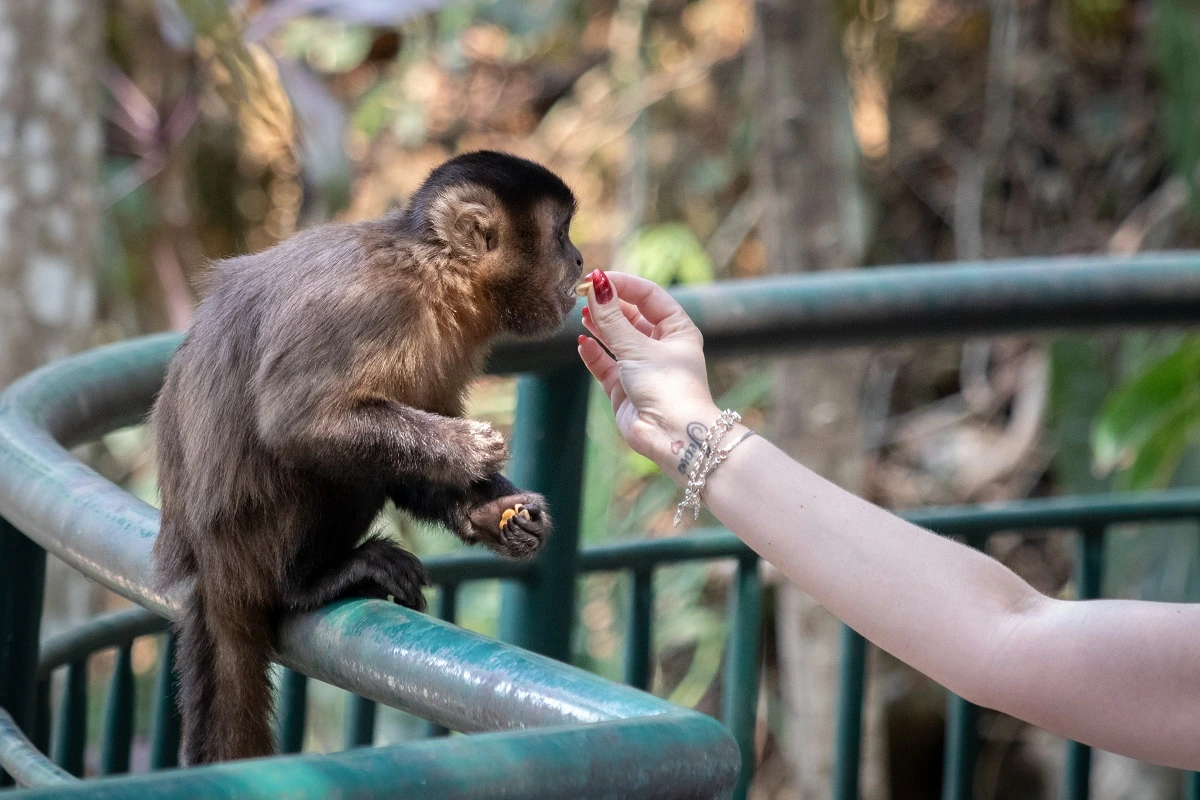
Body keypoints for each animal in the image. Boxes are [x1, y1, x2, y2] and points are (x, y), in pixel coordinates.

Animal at [152, 151, 583, 767]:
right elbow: (294, 422)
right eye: (562, 234)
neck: (432, 275)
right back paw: (311, 582)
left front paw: (495, 513)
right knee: (334, 468)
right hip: (250, 541)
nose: (580, 258)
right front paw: (464, 448)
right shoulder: (377, 307)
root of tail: (208, 567)